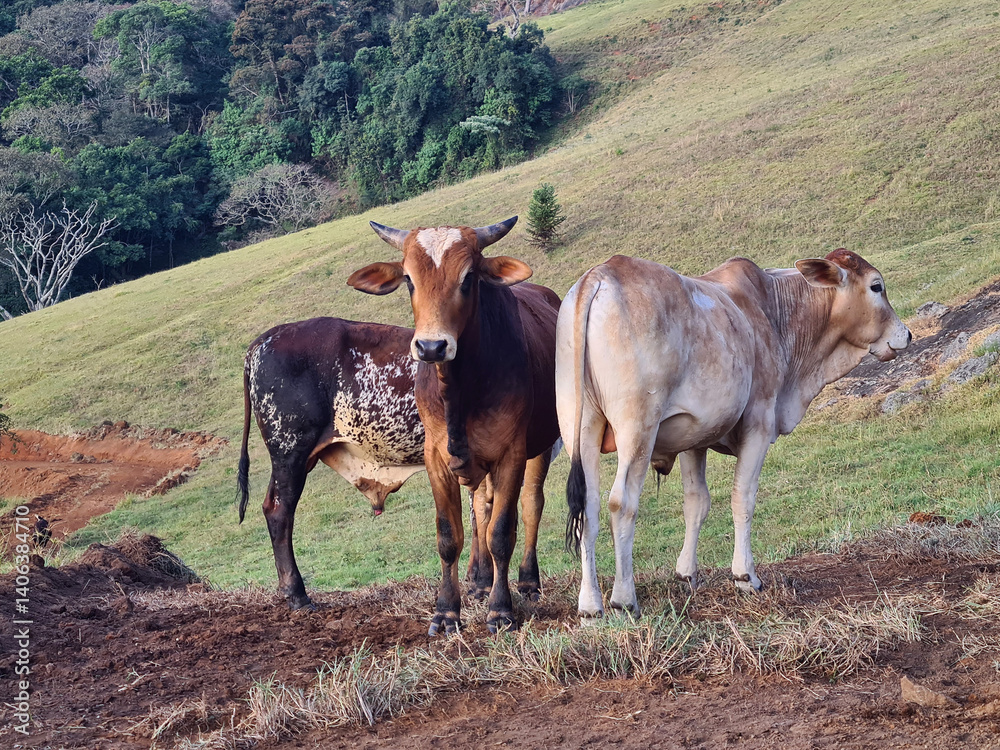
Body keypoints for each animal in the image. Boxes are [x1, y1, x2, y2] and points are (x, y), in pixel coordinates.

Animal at [348, 216, 561, 634]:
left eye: (469, 278)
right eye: (409, 279)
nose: (431, 347)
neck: (460, 389)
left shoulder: (511, 453)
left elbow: (502, 533)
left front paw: (501, 609)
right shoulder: (437, 457)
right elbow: (450, 535)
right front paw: (447, 611)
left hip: (541, 446)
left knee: (530, 505)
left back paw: (527, 581)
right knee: (481, 506)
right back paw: (479, 580)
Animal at [557, 249, 911, 619]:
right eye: (876, 286)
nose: (907, 335)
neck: (773, 311)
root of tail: (600, 275)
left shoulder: (693, 438)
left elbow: (696, 503)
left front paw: (687, 573)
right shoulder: (759, 424)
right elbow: (744, 497)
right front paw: (745, 575)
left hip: (579, 427)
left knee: (588, 508)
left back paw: (590, 604)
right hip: (637, 427)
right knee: (621, 503)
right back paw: (623, 597)